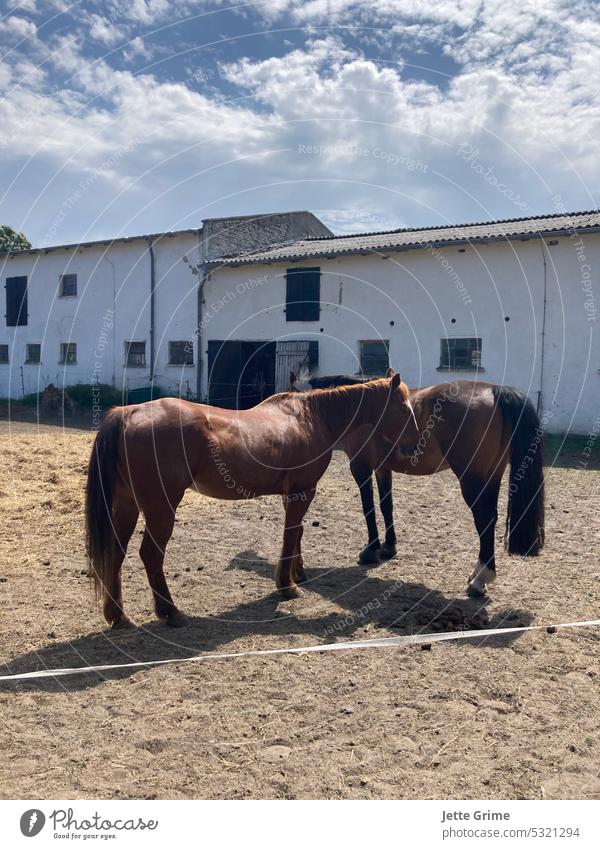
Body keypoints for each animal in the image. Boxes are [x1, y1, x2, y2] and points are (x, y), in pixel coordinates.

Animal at [85, 374, 422, 628]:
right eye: (405, 408)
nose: (414, 447)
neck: (311, 418)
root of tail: (128, 413)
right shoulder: (303, 491)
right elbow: (290, 534)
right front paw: (287, 585)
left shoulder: (293, 493)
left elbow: (297, 532)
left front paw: (297, 573)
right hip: (161, 509)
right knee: (151, 555)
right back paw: (171, 612)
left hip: (127, 505)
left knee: (116, 552)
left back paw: (118, 616)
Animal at [288, 366, 548, 596]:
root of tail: (495, 390)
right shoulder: (383, 468)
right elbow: (386, 505)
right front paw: (388, 547)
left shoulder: (360, 465)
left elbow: (368, 507)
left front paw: (370, 550)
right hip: (493, 475)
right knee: (492, 517)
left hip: (472, 479)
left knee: (484, 518)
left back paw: (480, 579)